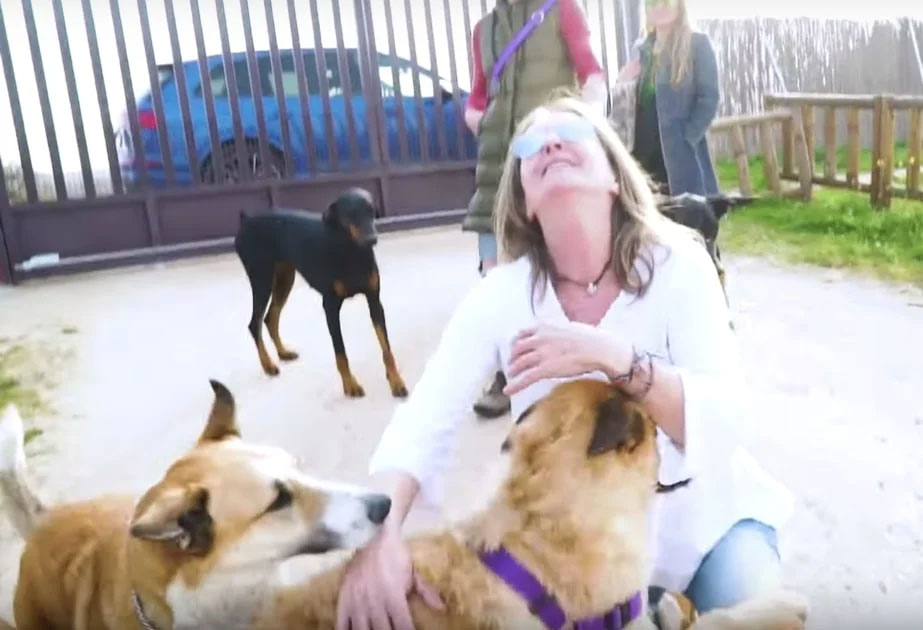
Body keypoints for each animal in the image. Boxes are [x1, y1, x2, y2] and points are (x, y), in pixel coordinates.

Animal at [234, 187, 408, 398]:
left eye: (371, 211)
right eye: (350, 214)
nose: (371, 239)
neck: (351, 251)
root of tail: (247, 219)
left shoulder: (374, 301)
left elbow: (386, 349)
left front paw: (396, 382)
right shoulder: (330, 307)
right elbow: (340, 352)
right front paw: (350, 385)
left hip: (284, 278)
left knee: (270, 318)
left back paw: (283, 353)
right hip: (261, 278)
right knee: (254, 323)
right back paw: (268, 365)